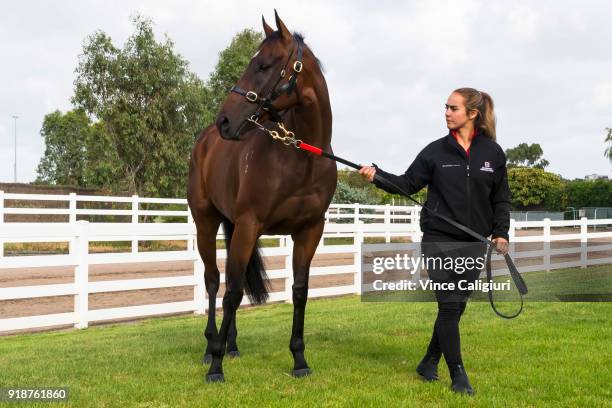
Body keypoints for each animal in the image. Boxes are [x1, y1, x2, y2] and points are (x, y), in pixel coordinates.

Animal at [189, 11, 338, 382]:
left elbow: (299, 291)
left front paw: (299, 360)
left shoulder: (309, 231)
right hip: (206, 223)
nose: (225, 121)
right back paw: (211, 346)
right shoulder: (248, 225)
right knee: (214, 281)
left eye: (264, 65)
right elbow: (230, 293)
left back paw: (231, 345)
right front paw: (216, 368)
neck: (300, 159)